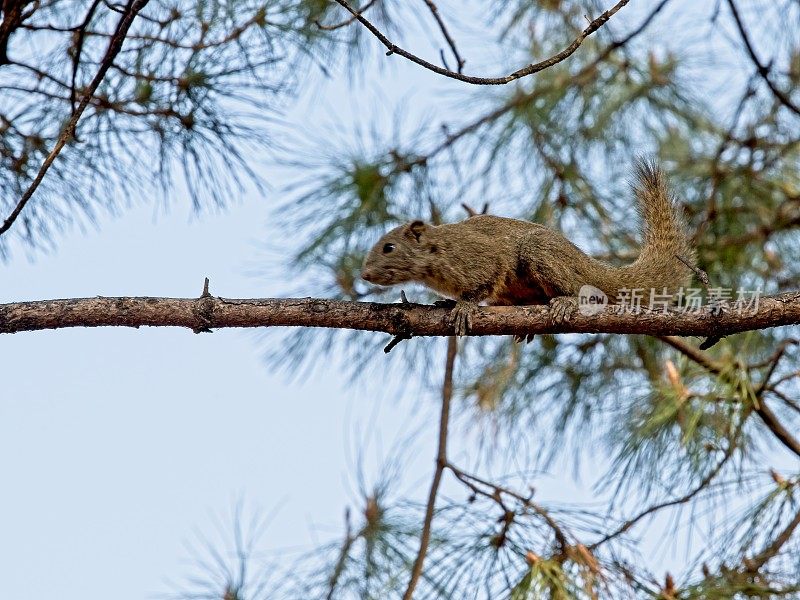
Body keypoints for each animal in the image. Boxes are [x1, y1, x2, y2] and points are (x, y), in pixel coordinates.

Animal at [360, 159, 692, 338]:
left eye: (389, 247)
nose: (364, 275)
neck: (437, 253)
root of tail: (585, 263)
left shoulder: (480, 258)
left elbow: (482, 283)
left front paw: (464, 307)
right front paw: (446, 303)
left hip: (540, 253)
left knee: (575, 289)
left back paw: (565, 302)